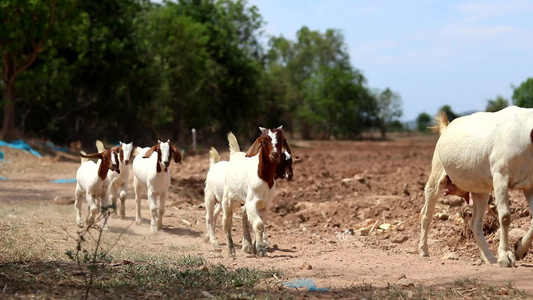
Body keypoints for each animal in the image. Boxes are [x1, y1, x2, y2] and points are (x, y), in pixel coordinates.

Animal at [418, 105, 532, 268]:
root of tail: (446, 127)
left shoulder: (529, 184)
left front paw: (519, 250)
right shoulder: (500, 177)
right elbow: (505, 217)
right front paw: (506, 256)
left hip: (480, 190)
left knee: (475, 224)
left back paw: (489, 258)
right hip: (437, 172)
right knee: (426, 212)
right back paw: (423, 251)